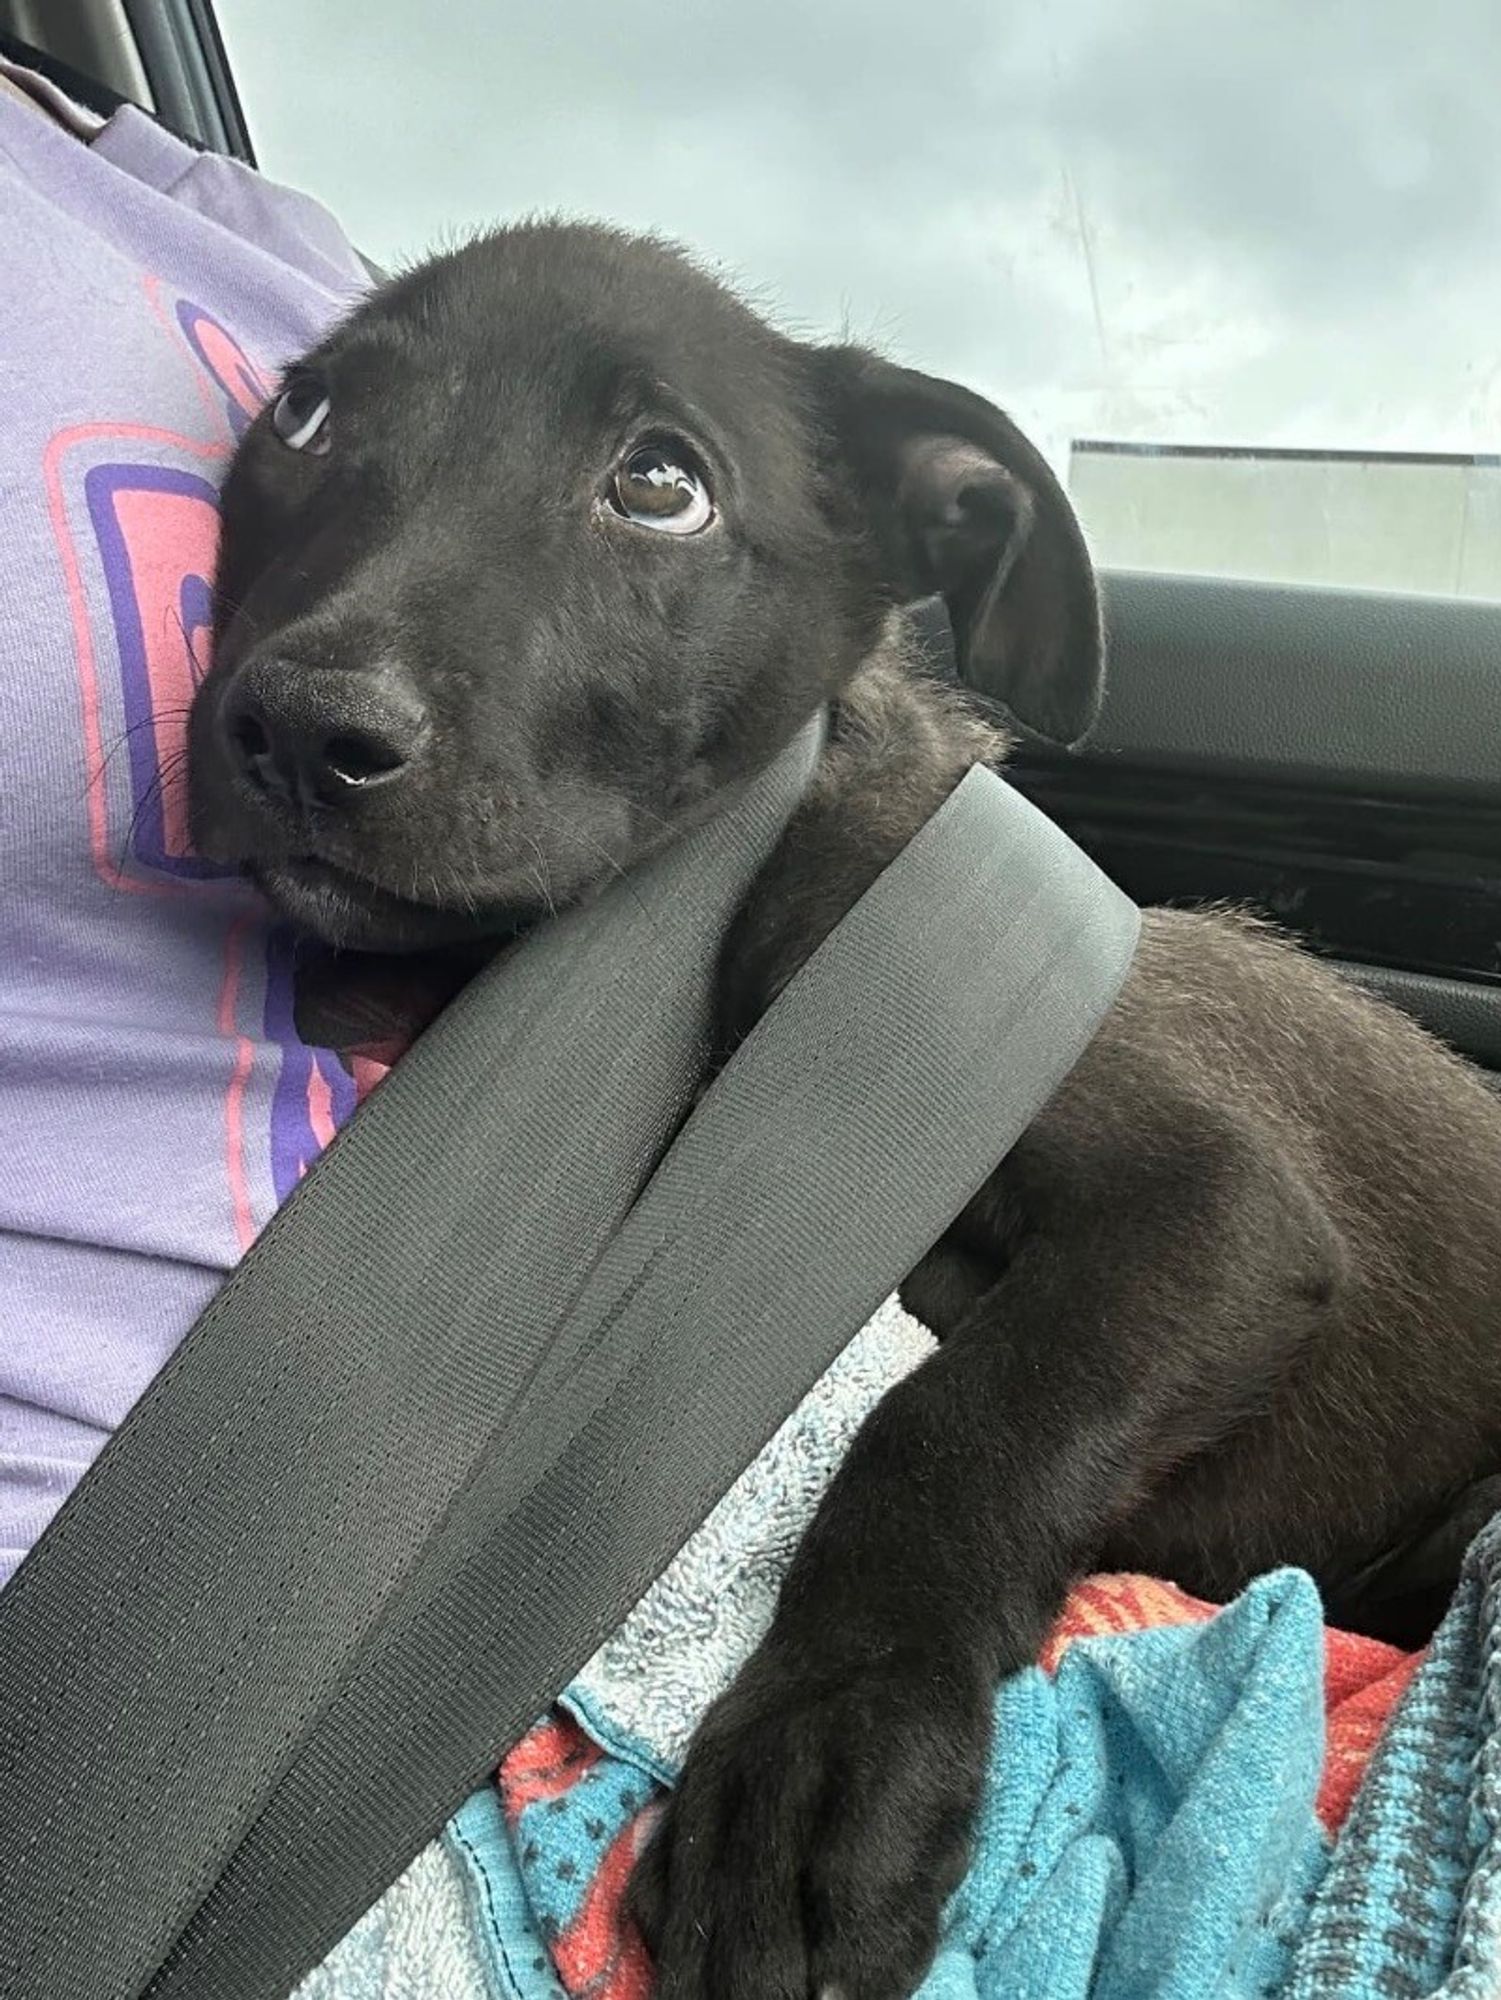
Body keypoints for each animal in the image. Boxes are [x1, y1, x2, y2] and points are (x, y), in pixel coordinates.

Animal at [191, 227, 1501, 2000]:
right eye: (309, 417)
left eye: (660, 483)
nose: (301, 729)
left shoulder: (1219, 1204)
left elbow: (957, 1416)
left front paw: (834, 1745)